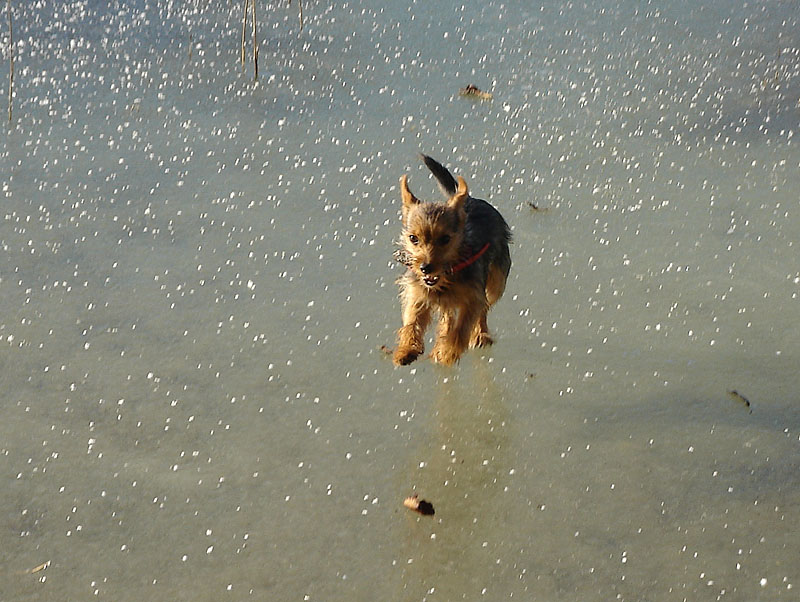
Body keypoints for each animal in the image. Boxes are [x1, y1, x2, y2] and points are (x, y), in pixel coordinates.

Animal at [394, 154, 512, 366]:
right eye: (413, 238)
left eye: (445, 239)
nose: (425, 267)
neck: (448, 276)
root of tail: (471, 199)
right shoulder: (417, 295)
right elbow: (412, 322)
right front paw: (406, 350)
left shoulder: (473, 298)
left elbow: (461, 329)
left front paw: (448, 352)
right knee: (447, 315)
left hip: (496, 283)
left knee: (484, 308)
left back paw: (480, 335)